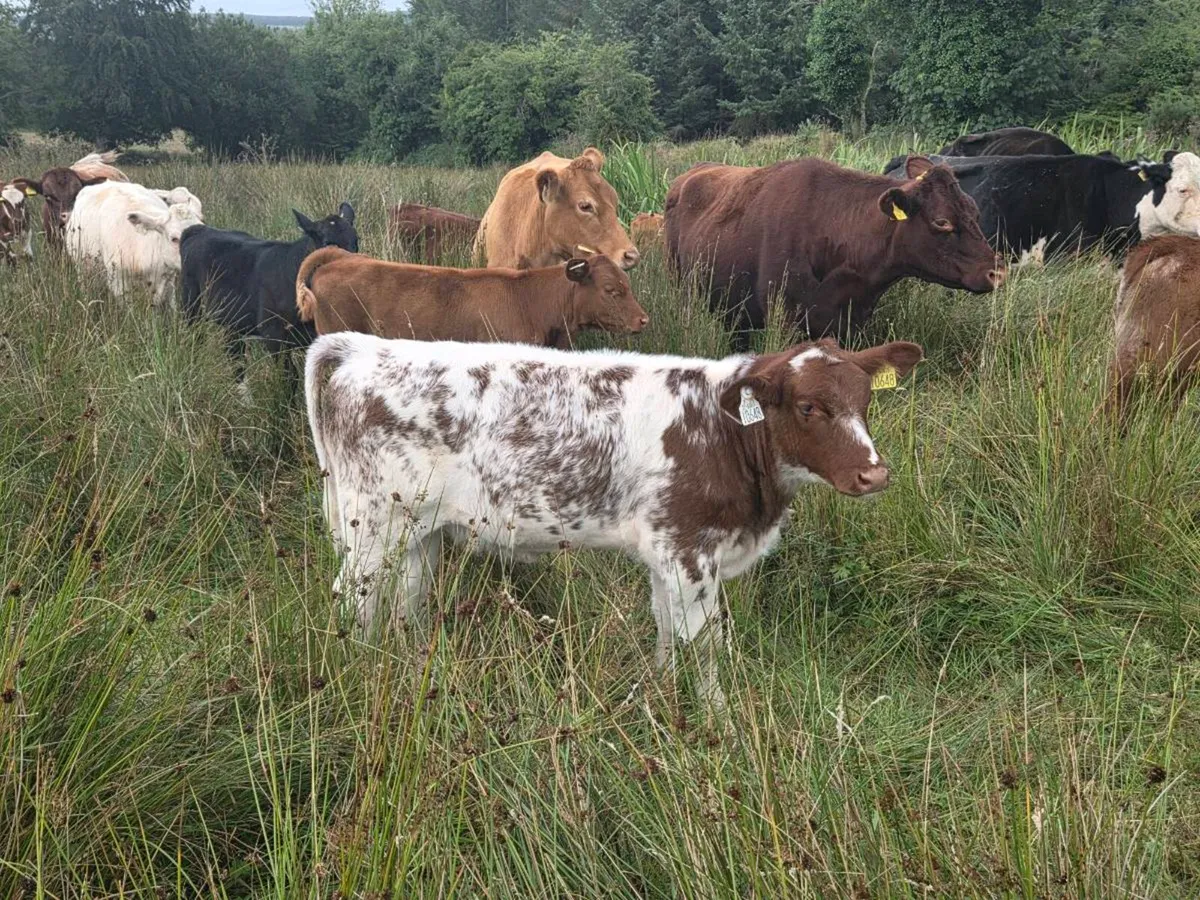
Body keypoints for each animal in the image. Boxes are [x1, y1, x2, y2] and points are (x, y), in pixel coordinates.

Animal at [180, 203, 358, 386]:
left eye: (355, 240)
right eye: (328, 243)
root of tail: (199, 229)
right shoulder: (273, 335)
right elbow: (290, 378)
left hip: (233, 319)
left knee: (235, 353)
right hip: (191, 304)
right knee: (195, 339)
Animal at [304, 331, 923, 708]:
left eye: (866, 401)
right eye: (809, 407)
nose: (874, 474)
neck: (722, 430)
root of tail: (367, 349)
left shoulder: (666, 551)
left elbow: (668, 629)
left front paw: (666, 694)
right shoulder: (690, 550)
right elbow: (706, 642)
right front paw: (719, 717)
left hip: (418, 534)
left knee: (403, 602)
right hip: (371, 526)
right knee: (351, 599)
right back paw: (357, 676)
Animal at [665, 155, 1003, 347]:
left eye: (974, 210)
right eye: (942, 222)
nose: (995, 271)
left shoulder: (853, 325)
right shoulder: (784, 321)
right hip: (683, 290)